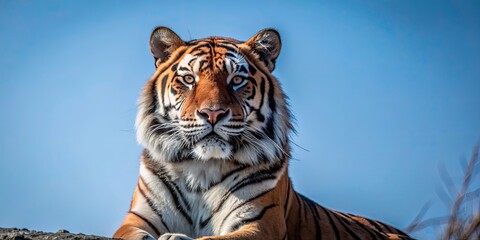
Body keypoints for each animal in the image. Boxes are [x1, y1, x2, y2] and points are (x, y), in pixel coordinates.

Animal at [113, 26, 412, 240]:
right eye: (189, 80)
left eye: (236, 80)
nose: (212, 113)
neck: (202, 169)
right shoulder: (137, 219)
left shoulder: (259, 224)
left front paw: (176, 238)